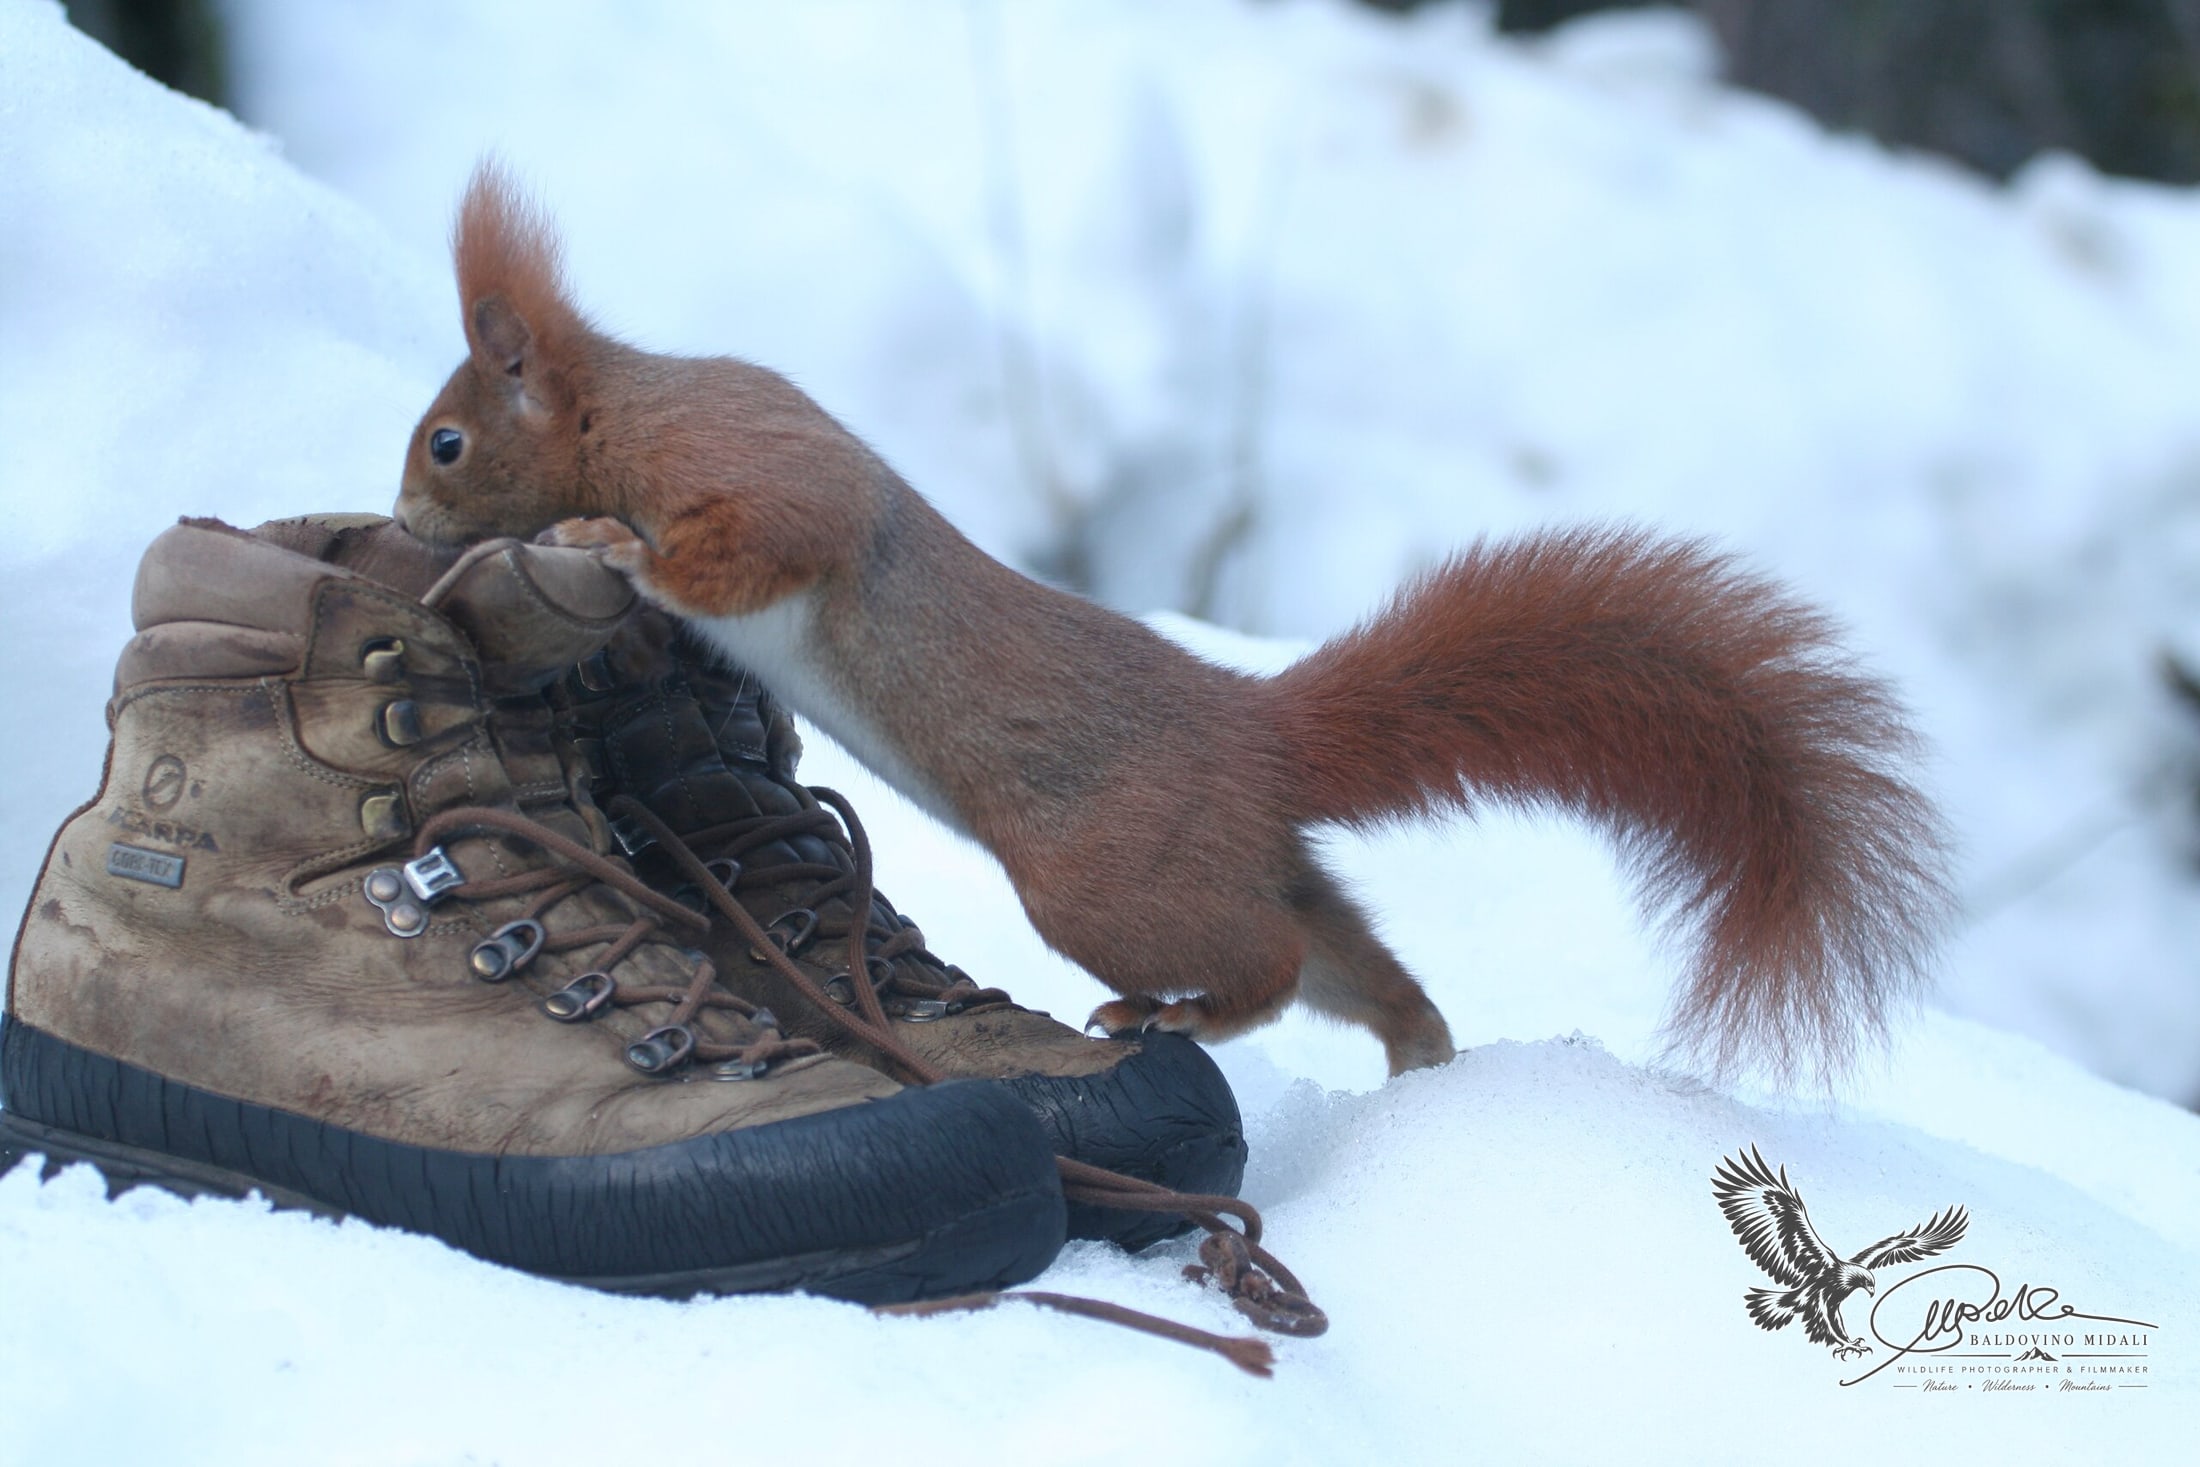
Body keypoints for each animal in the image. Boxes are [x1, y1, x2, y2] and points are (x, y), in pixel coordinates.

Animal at [395, 163, 1950, 1080]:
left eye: (449, 442)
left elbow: (750, 547)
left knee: (1266, 966)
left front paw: (600, 546)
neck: (625, 409)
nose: (407, 514)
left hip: (1109, 884)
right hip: (1238, 865)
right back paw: (1421, 1056)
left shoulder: (760, 478)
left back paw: (1179, 1019)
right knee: (1347, 962)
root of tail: (1255, 733)